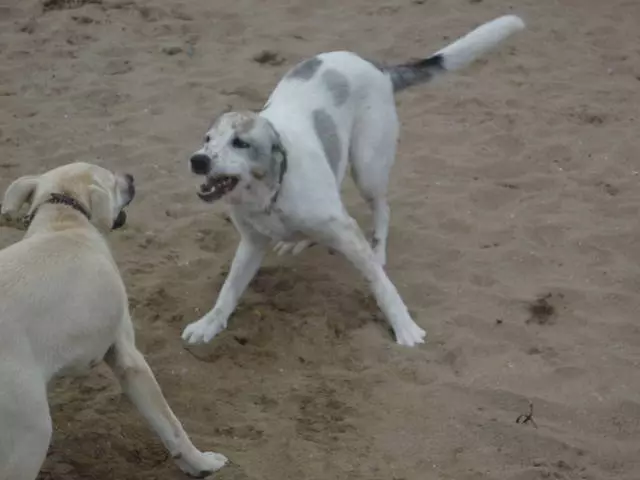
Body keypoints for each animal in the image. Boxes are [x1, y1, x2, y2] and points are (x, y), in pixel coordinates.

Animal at [0, 162, 228, 480]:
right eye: (112, 180)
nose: (130, 177)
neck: (64, 220)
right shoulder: (128, 356)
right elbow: (171, 425)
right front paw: (201, 464)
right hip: (29, 436)